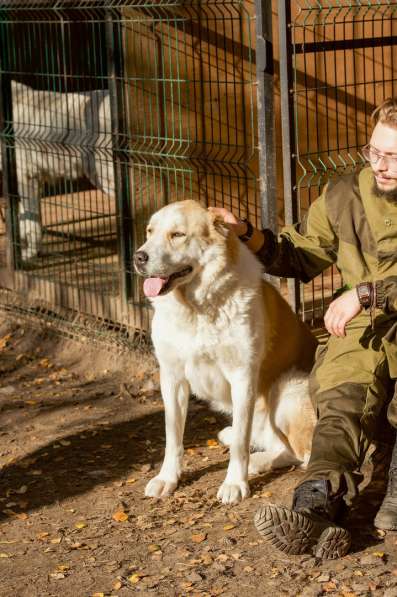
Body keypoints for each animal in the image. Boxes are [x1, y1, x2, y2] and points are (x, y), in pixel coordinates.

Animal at [0, 81, 114, 258]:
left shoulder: (26, 176)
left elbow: (31, 219)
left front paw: (29, 254)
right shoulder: (31, 179)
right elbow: (27, 218)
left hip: (105, 177)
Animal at [135, 200, 318, 502]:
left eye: (177, 234)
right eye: (150, 231)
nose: (139, 257)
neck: (196, 308)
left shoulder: (243, 378)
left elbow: (241, 445)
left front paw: (235, 483)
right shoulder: (172, 378)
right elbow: (173, 436)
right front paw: (167, 478)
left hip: (286, 387)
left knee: (301, 454)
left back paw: (257, 462)